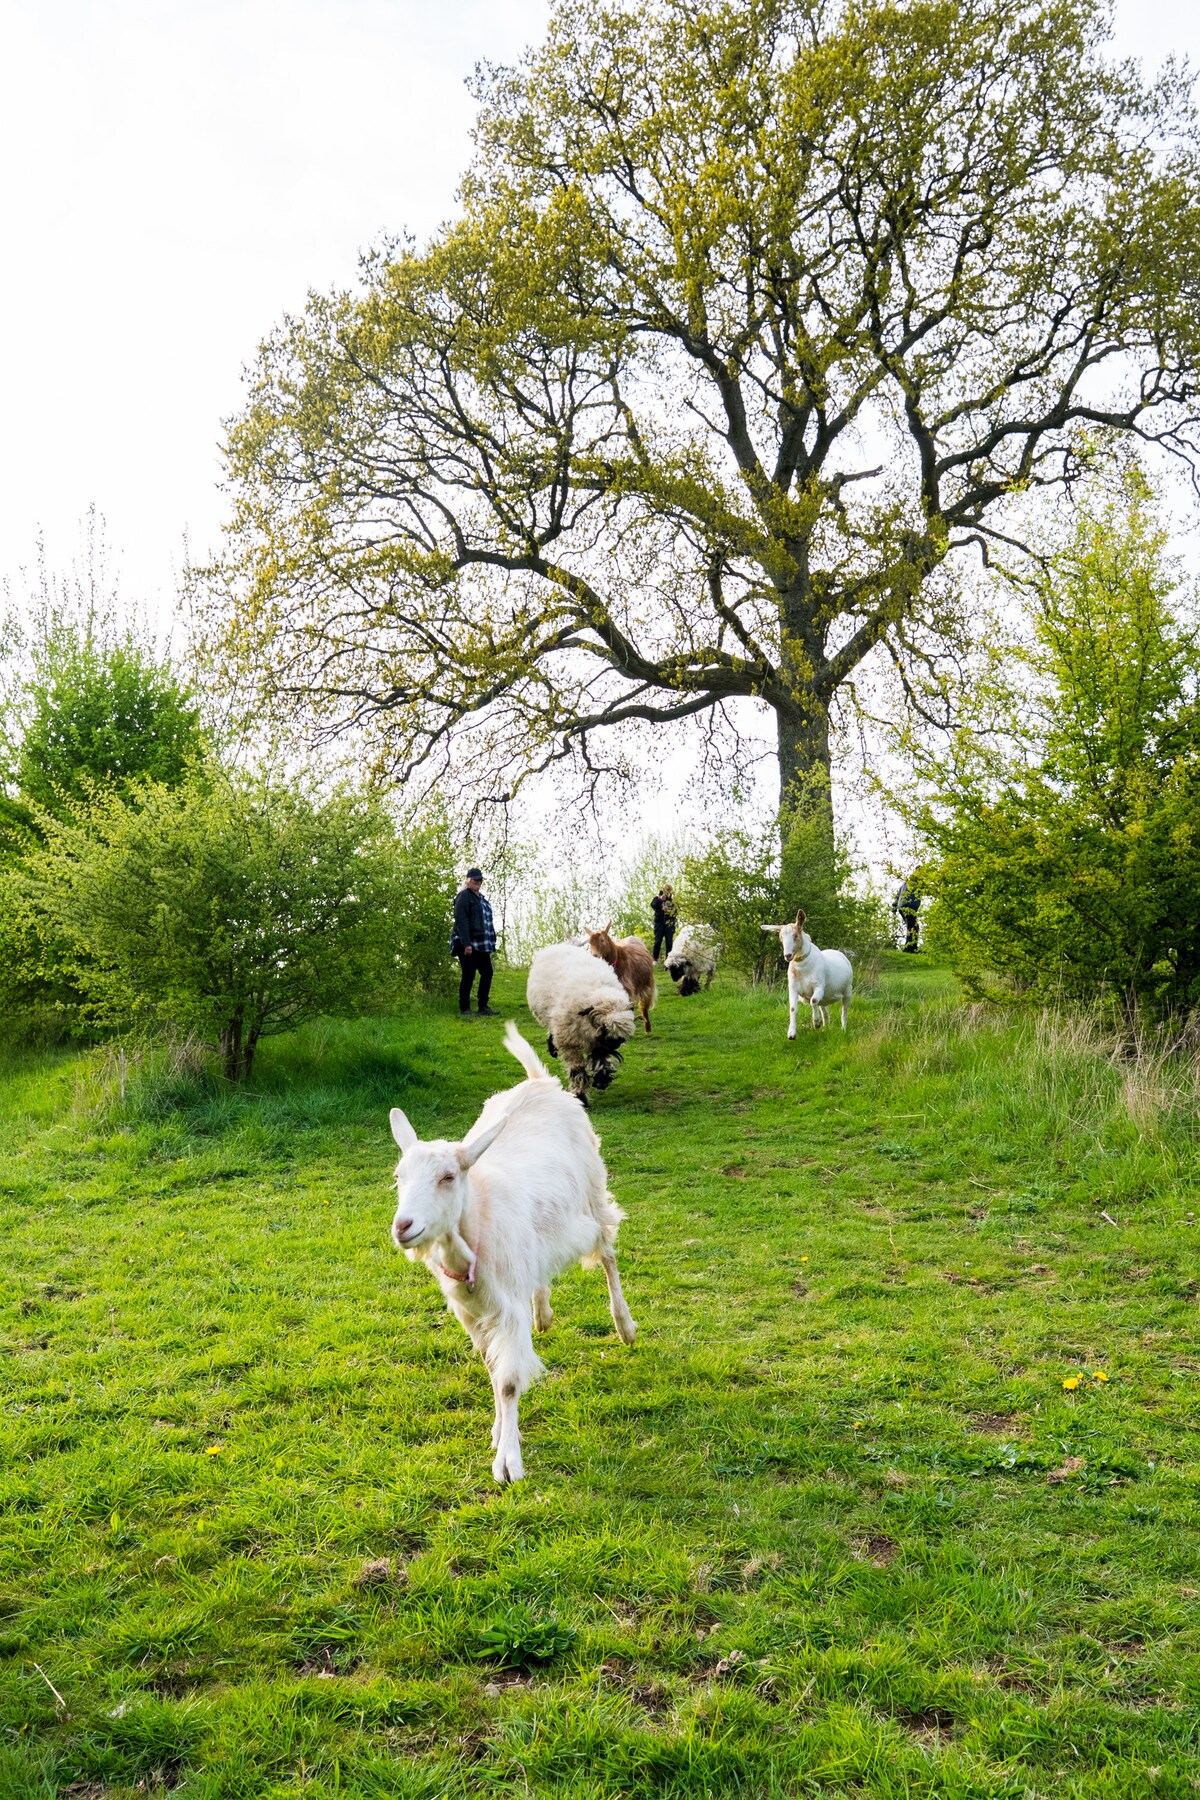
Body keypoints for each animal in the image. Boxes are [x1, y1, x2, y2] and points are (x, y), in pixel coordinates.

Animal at [389, 1021, 636, 1482]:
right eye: (399, 1176)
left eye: (448, 1177)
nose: (403, 1226)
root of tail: (541, 1081)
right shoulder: (471, 1313)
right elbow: (492, 1368)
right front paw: (498, 1431)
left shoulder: (506, 1309)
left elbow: (507, 1380)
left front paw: (508, 1461)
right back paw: (544, 1314)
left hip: (593, 1195)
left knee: (608, 1254)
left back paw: (624, 1325)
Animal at [527, 942, 635, 1106]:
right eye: (604, 1028)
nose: (615, 1044)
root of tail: (559, 945)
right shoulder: (570, 1042)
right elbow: (576, 1070)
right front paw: (580, 1096)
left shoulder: (598, 1043)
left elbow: (600, 1058)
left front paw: (601, 1079)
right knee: (552, 1030)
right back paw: (552, 1047)